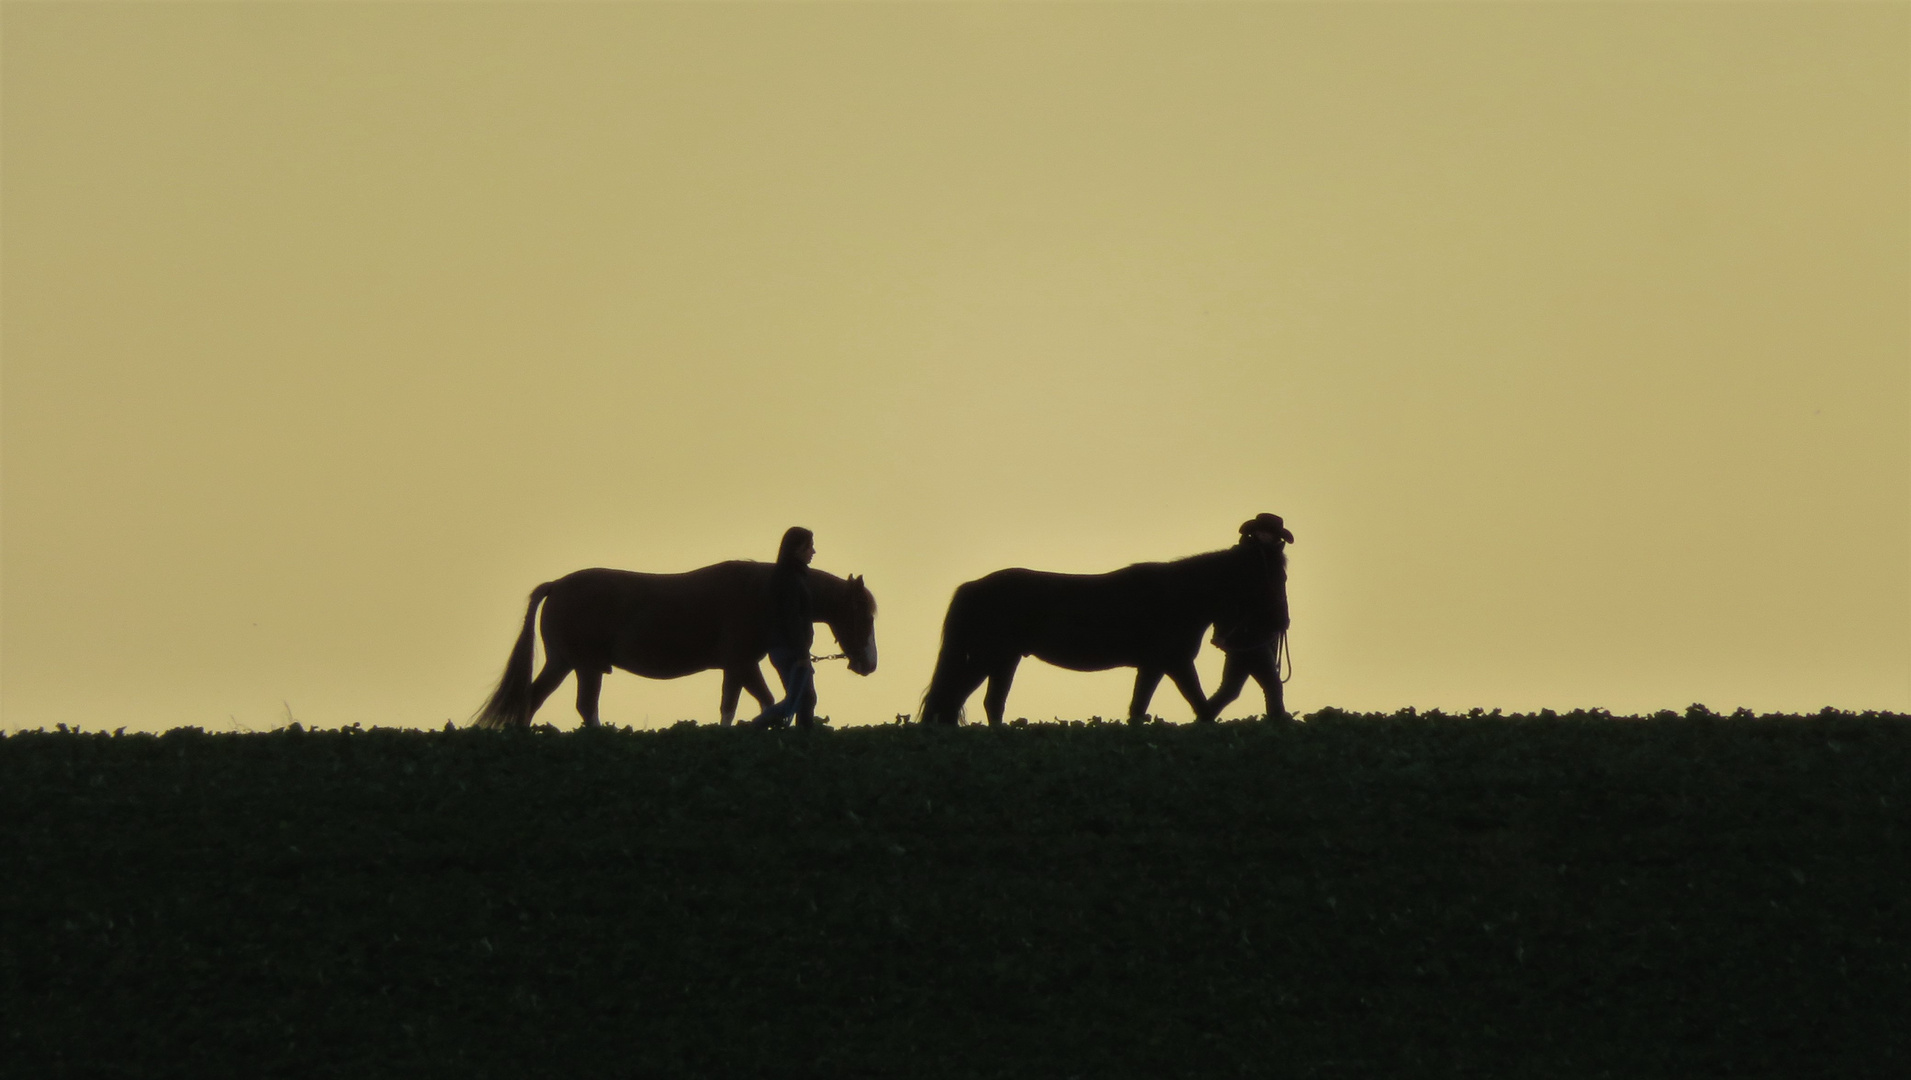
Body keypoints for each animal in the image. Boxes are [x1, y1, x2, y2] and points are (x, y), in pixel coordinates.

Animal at [473, 561, 875, 730]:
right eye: (865, 615)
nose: (869, 664)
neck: (766, 592)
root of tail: (556, 585)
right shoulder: (742, 664)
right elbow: (750, 703)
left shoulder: (739, 666)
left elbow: (743, 704)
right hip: (584, 665)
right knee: (584, 706)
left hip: (564, 663)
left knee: (535, 698)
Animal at [913, 546, 1276, 722]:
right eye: (1263, 576)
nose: (1277, 623)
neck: (1178, 596)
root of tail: (973, 587)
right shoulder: (1176, 663)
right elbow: (1200, 705)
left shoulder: (1153, 666)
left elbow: (1139, 708)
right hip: (988, 657)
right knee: (954, 697)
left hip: (1004, 659)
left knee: (987, 702)